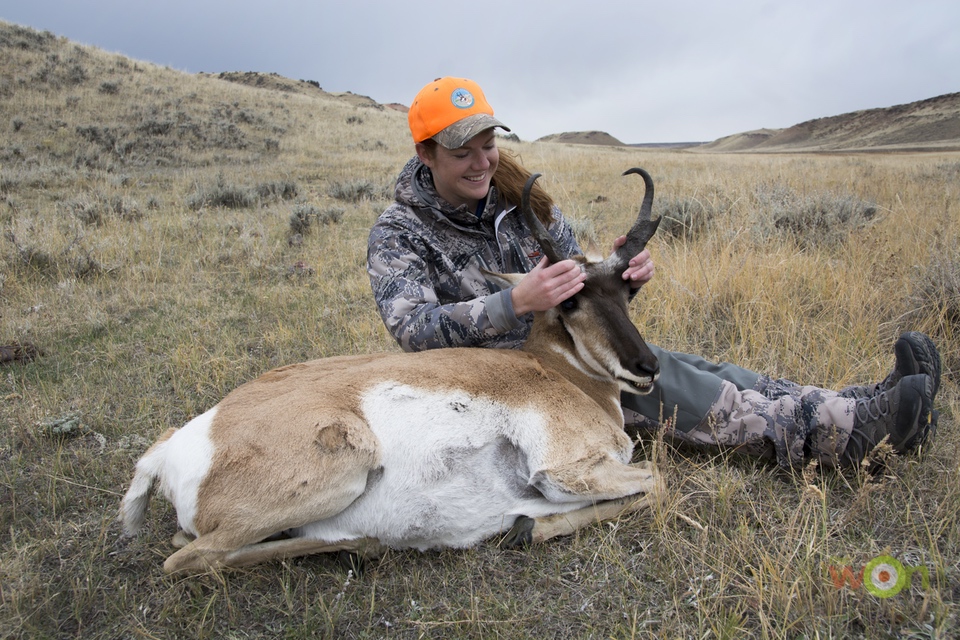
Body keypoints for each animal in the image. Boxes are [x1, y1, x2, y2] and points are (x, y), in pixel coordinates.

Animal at [120, 168, 664, 572]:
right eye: (569, 300)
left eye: (629, 290)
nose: (648, 365)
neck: (557, 373)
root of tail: (177, 444)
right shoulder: (564, 472)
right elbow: (656, 481)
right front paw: (530, 526)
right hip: (345, 467)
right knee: (190, 558)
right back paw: (371, 543)